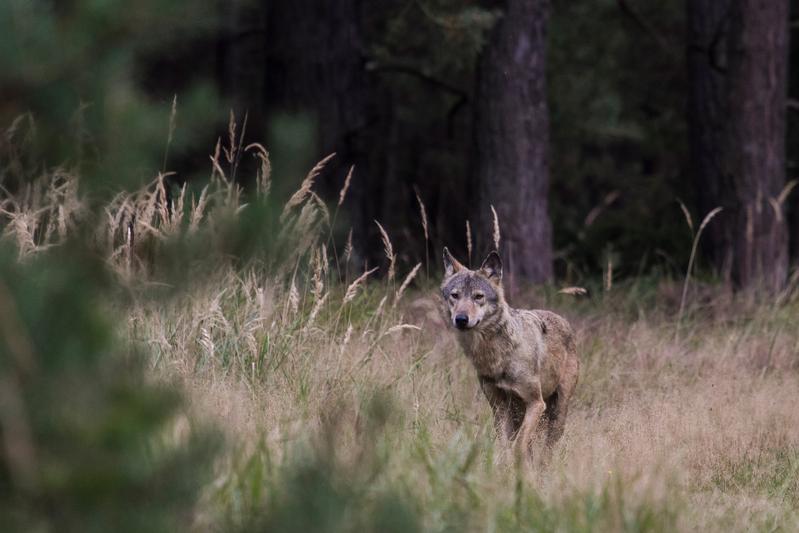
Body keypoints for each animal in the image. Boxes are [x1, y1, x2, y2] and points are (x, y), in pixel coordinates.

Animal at [440, 248, 580, 458]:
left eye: (478, 297)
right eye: (455, 295)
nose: (461, 319)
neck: (497, 357)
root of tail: (563, 320)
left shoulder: (536, 403)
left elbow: (518, 445)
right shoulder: (499, 407)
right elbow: (505, 447)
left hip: (557, 414)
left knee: (546, 450)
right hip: (518, 413)